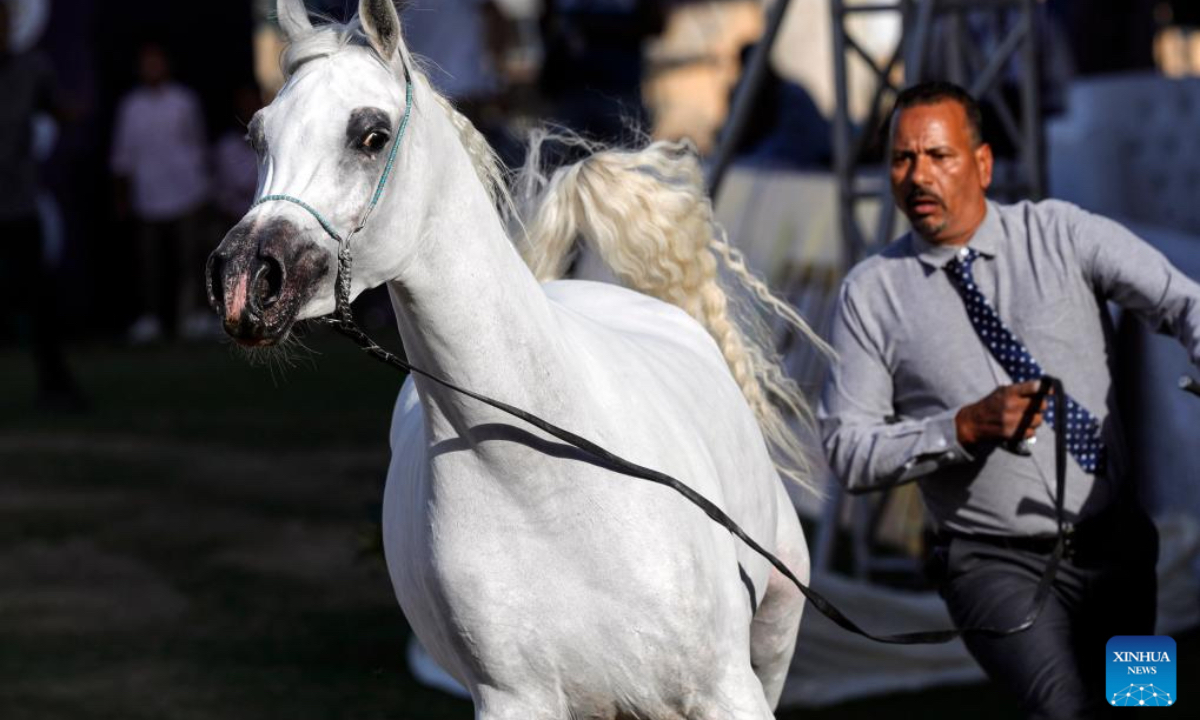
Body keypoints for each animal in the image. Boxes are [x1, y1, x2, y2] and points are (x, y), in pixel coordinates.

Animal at [207, 1, 825, 717]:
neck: (551, 482)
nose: (244, 280)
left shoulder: (728, 689)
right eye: (258, 138)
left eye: (371, 135)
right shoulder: (515, 700)